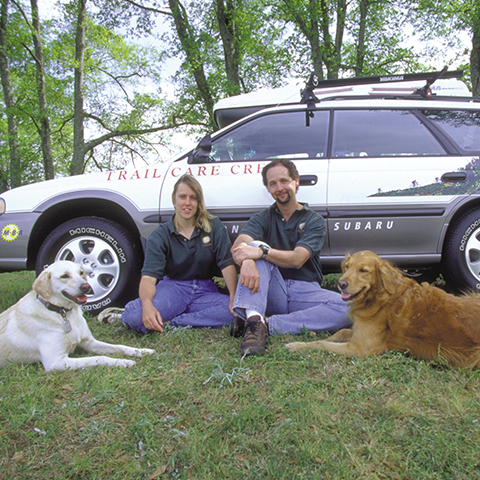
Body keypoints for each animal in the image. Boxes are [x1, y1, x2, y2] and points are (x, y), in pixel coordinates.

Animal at [0, 262, 155, 372]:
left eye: (81, 273)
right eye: (64, 276)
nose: (87, 287)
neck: (64, 314)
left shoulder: (89, 342)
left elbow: (119, 346)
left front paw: (141, 351)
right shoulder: (56, 362)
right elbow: (99, 358)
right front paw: (122, 362)